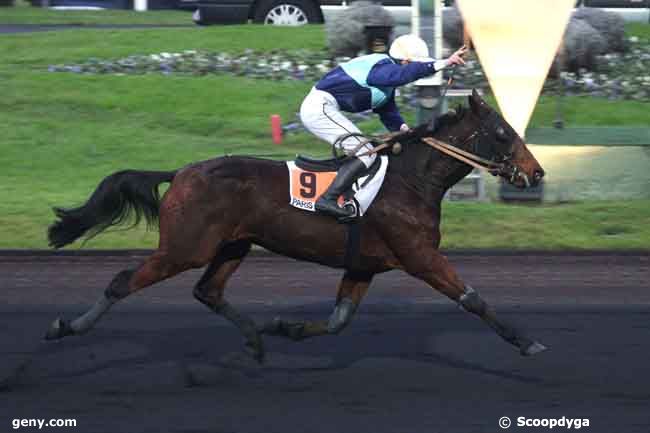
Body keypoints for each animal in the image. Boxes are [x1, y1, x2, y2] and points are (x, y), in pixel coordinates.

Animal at [43, 91, 544, 362]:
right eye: (503, 133)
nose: (536, 173)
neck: (411, 181)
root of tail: (181, 173)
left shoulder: (364, 264)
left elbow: (339, 320)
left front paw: (287, 328)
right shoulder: (419, 256)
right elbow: (472, 299)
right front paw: (526, 342)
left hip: (233, 245)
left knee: (208, 291)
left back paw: (255, 339)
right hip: (186, 247)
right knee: (123, 281)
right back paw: (67, 327)